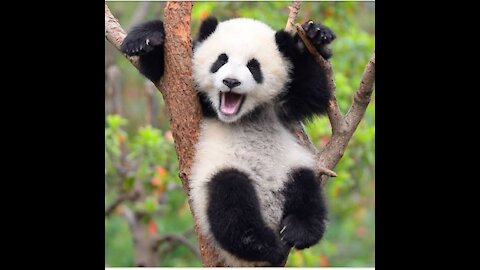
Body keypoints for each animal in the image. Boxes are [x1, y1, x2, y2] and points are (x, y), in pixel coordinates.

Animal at [122, 15, 336, 266]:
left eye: (253, 66)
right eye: (221, 60)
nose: (231, 82)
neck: (242, 117)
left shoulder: (282, 105)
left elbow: (314, 92)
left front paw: (315, 36)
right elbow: (162, 71)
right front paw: (145, 39)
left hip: (289, 167)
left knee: (306, 192)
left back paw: (297, 231)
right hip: (220, 173)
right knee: (230, 202)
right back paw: (263, 245)